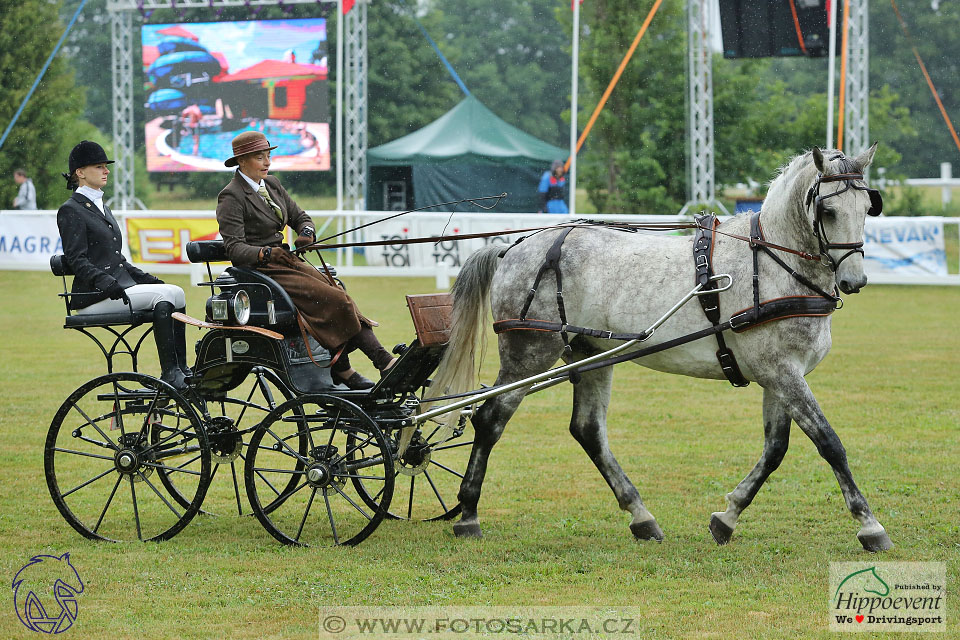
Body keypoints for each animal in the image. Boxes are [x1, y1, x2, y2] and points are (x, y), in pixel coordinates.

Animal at [430, 144, 892, 552]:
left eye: (867, 208)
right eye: (828, 211)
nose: (854, 280)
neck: (773, 263)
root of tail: (514, 247)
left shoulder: (777, 375)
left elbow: (775, 450)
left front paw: (727, 517)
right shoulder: (780, 373)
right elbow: (829, 443)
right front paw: (870, 526)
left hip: (589, 354)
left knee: (588, 430)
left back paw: (641, 516)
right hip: (530, 354)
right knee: (489, 419)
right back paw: (468, 513)